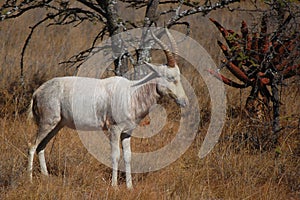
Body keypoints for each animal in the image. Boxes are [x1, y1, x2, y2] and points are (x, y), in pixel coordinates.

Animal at [27, 28, 188, 188]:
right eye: (170, 77)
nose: (184, 102)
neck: (131, 93)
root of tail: (37, 92)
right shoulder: (114, 129)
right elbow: (115, 155)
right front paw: (114, 186)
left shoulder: (127, 132)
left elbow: (128, 156)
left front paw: (129, 187)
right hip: (47, 123)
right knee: (32, 145)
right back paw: (29, 179)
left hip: (57, 125)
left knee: (41, 146)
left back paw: (46, 176)